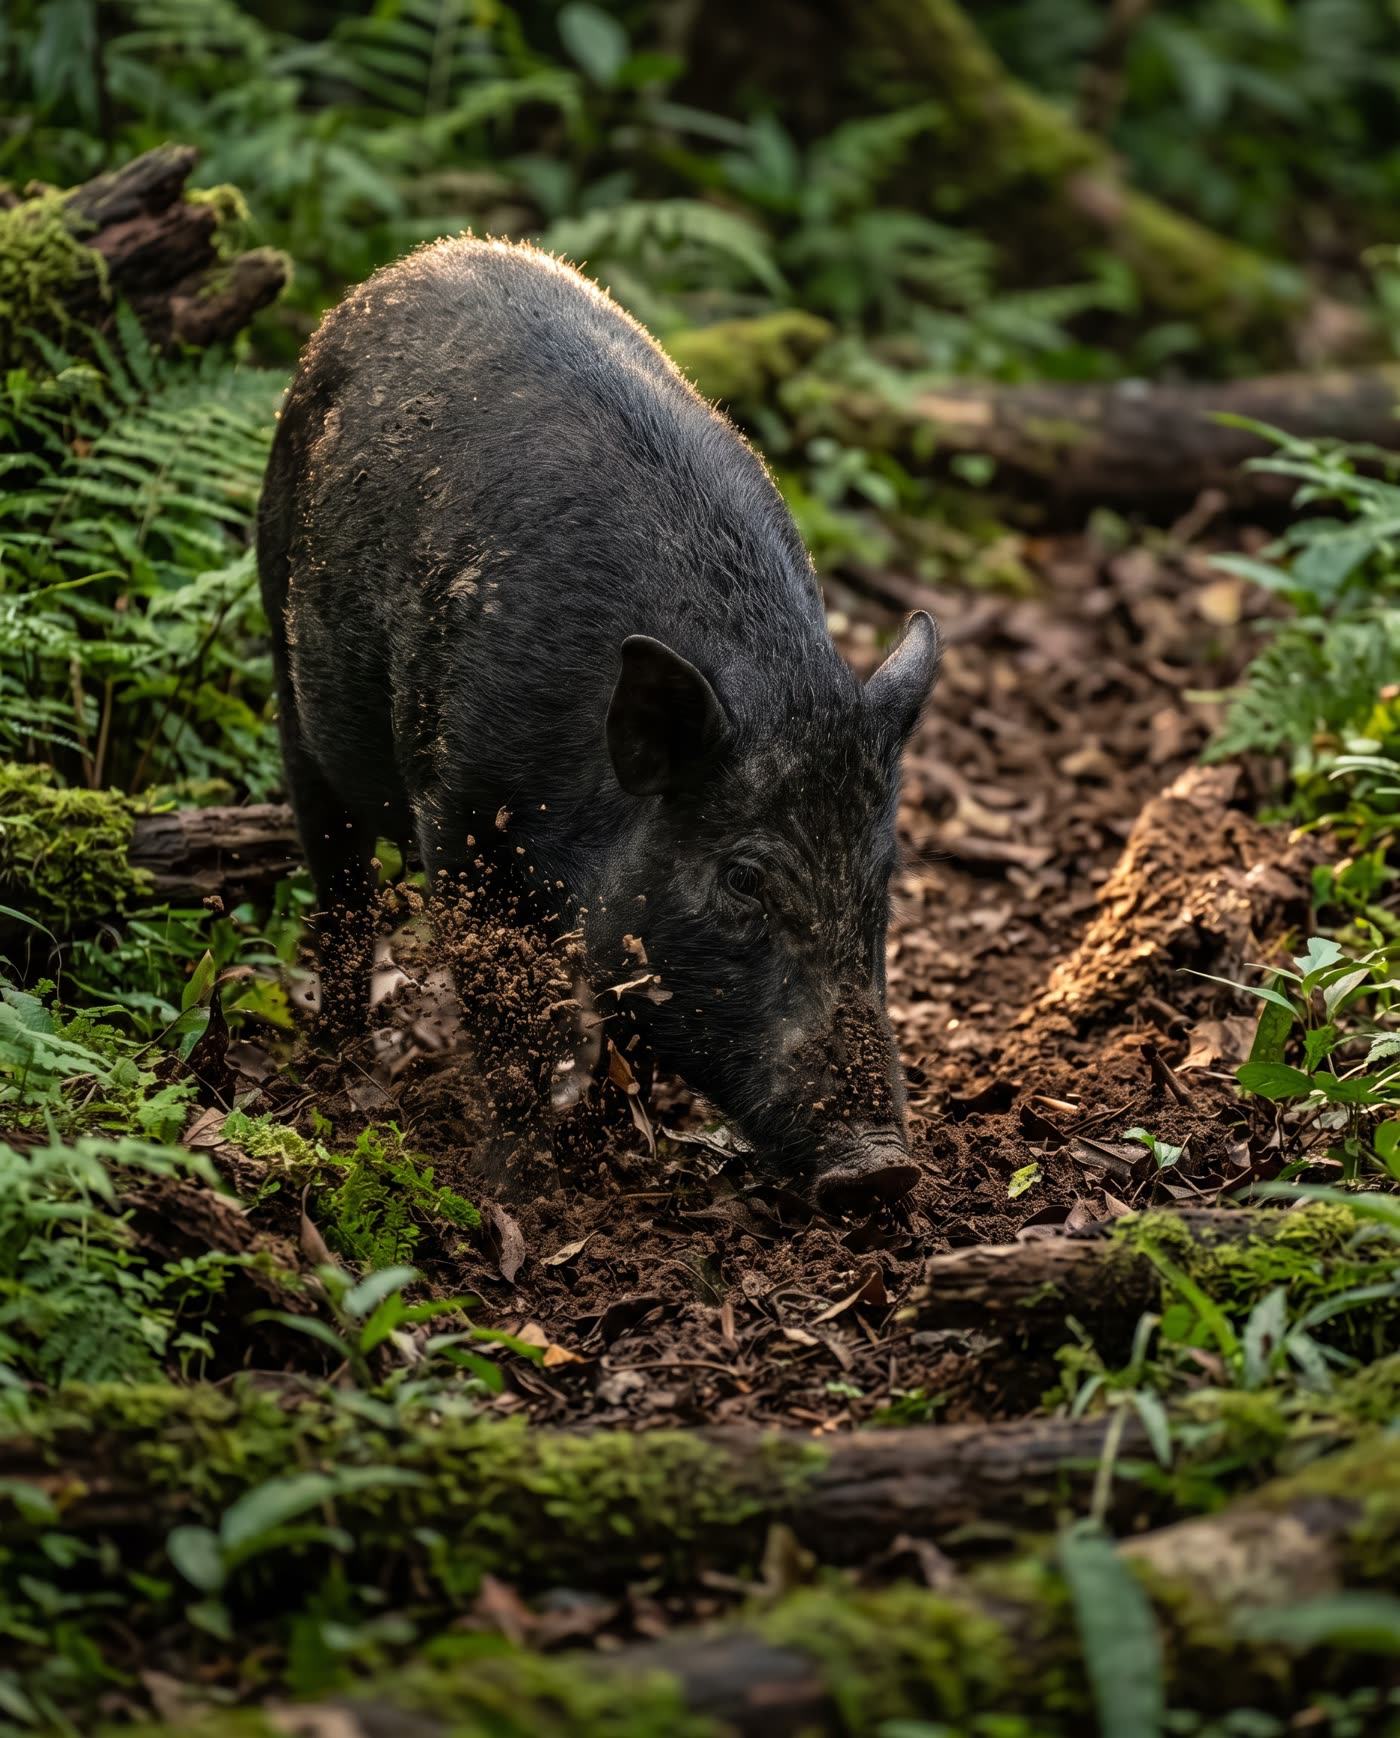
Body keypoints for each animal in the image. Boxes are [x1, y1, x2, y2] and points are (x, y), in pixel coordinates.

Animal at [257, 237, 939, 1209]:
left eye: (883, 877)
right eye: (743, 879)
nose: (880, 1167)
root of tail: (419, 259)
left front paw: (619, 1143)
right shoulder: (457, 815)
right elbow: (506, 1007)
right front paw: (522, 1178)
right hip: (286, 661)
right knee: (341, 887)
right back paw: (342, 1066)